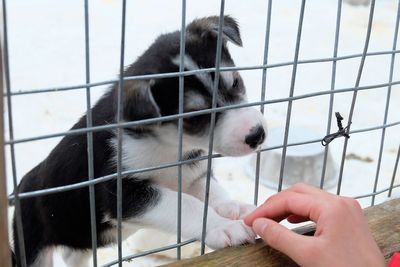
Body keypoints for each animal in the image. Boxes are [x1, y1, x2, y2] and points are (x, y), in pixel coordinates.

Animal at [11, 16, 268, 267]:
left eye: (235, 82)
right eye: (194, 116)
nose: (257, 134)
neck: (168, 145)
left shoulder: (190, 172)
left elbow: (211, 191)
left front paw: (234, 208)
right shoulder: (121, 193)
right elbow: (185, 204)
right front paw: (223, 227)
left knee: (72, 255)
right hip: (32, 244)